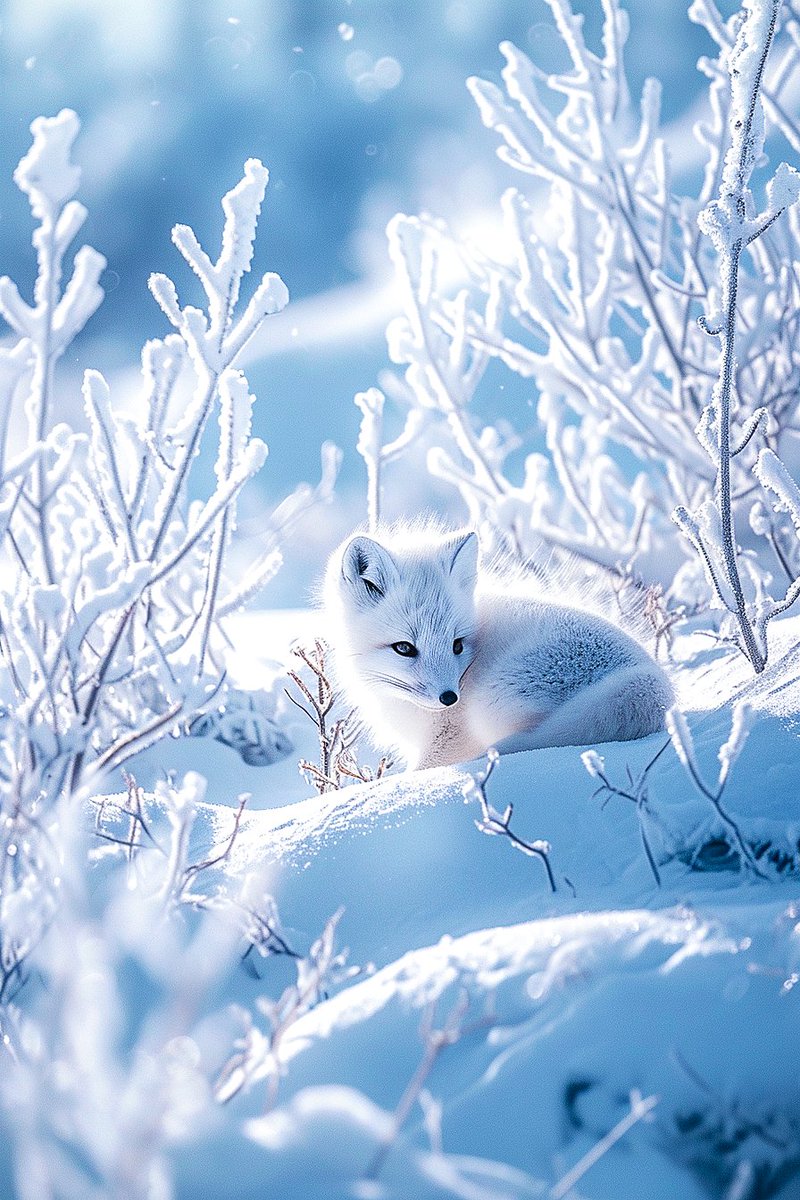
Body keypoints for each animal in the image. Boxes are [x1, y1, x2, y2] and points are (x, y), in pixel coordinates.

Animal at [323, 524, 674, 771]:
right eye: (404, 648)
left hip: (490, 700)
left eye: (456, 644)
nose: (449, 698)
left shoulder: (447, 738)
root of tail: (653, 683)